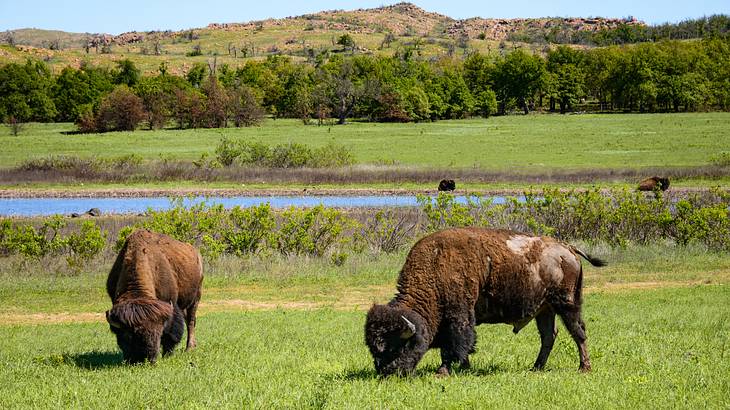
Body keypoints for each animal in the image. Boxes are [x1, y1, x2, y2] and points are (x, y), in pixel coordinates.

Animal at [104, 231, 202, 366]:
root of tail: (196, 252)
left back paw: (189, 348)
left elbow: (171, 332)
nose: (147, 359)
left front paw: (167, 354)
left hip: (196, 298)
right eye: (128, 335)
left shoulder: (171, 305)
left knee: (191, 322)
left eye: (159, 333)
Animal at [362, 229, 604, 376]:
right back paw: (536, 367)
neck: (435, 266)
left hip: (567, 305)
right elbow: (460, 345)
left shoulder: (459, 315)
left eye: (398, 345)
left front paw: (444, 371)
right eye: (374, 349)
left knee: (578, 332)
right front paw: (463, 367)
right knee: (549, 336)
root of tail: (568, 248)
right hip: (545, 309)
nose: (387, 372)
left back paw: (584, 367)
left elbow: (456, 343)